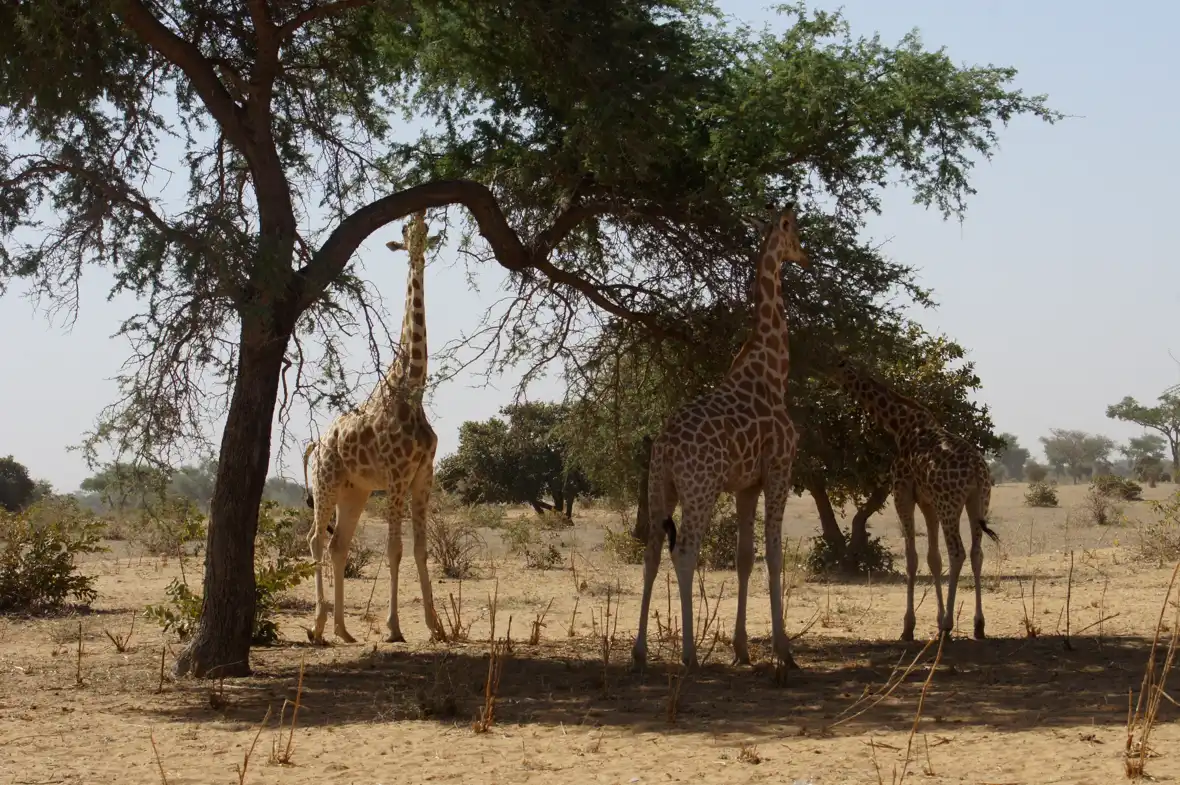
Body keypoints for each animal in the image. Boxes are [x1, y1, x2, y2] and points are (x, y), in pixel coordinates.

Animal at [301, 210, 446, 645]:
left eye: (426, 232)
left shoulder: (423, 476)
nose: (417, 247)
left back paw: (343, 630)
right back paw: (317, 626)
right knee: (316, 540)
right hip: (327, 483)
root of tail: (315, 445)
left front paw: (436, 627)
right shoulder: (397, 476)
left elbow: (419, 550)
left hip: (356, 492)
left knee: (339, 545)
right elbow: (395, 549)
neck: (412, 386)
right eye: (405, 233)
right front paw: (394, 627)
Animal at [631, 204, 809, 670]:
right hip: (700, 487)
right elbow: (774, 554)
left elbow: (745, 558)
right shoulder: (779, 470)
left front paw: (742, 648)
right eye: (796, 233)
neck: (773, 372)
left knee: (651, 552)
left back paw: (639, 653)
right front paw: (784, 651)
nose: (804, 257)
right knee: (684, 551)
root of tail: (666, 446)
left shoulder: (747, 484)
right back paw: (689, 656)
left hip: (660, 486)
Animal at [824, 356, 1000, 642]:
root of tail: (976, 468)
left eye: (833, 363)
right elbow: (933, 559)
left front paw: (908, 627)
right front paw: (935, 619)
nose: (818, 371)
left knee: (958, 552)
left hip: (949, 503)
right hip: (979, 500)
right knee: (976, 553)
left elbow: (911, 558)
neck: (901, 425)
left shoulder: (902, 493)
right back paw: (978, 625)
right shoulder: (928, 502)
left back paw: (948, 625)